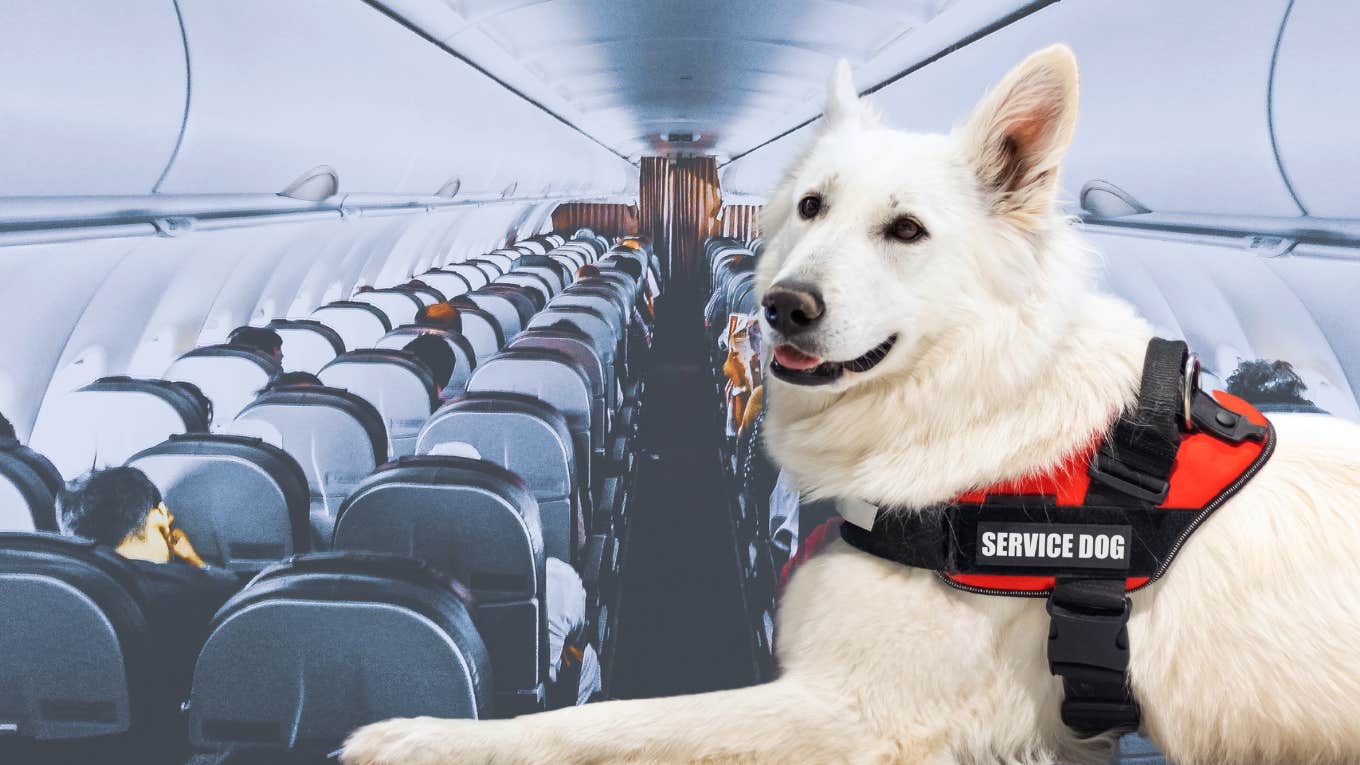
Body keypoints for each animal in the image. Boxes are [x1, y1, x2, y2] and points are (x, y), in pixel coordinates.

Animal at [345, 47, 1360, 762]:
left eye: (906, 230)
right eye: (810, 206)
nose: (780, 305)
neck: (969, 418)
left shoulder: (861, 710)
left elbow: (607, 724)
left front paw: (418, 737)